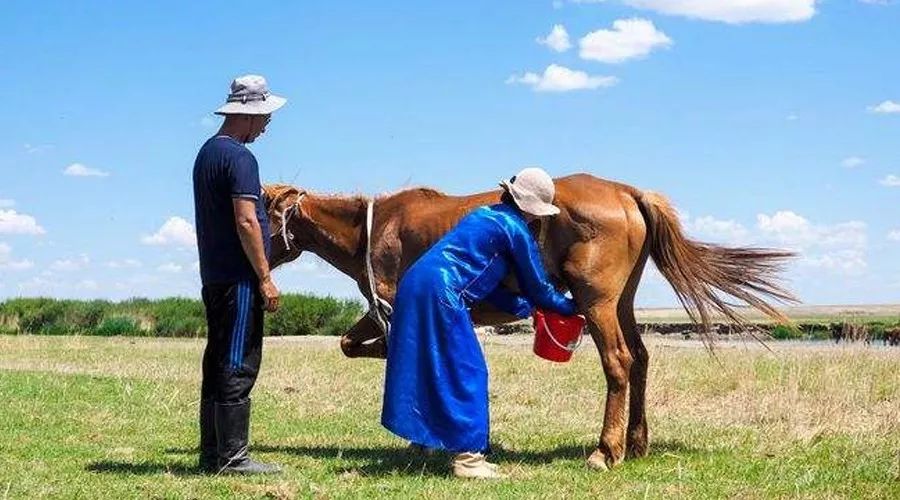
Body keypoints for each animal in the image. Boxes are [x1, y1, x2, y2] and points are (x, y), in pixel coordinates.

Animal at [262, 174, 796, 470]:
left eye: (261, 214)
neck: (377, 226)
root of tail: (627, 193)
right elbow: (352, 344)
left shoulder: (391, 305)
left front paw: (421, 440)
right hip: (620, 303)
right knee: (641, 360)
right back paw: (636, 443)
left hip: (598, 304)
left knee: (619, 362)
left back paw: (605, 451)